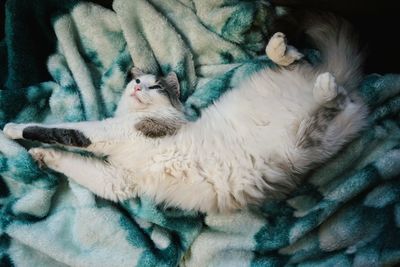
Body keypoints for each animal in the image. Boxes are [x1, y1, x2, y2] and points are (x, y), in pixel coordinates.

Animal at [3, 16, 368, 214]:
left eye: (155, 87)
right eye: (137, 81)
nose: (138, 88)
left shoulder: (110, 131)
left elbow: (54, 129)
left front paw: (11, 128)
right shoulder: (119, 179)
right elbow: (75, 164)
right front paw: (43, 155)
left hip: (306, 140)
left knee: (332, 96)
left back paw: (319, 82)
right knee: (302, 61)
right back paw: (281, 48)